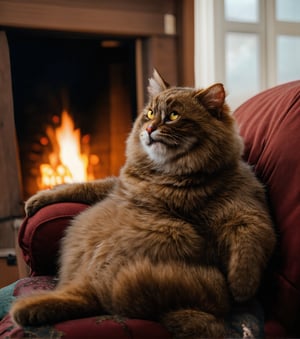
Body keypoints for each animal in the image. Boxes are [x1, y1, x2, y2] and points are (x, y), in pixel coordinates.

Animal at [10, 70, 276, 338]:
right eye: (149, 113)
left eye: (173, 116)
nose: (149, 128)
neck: (168, 172)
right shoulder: (117, 185)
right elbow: (83, 187)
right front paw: (37, 200)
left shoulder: (246, 207)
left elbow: (249, 249)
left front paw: (240, 289)